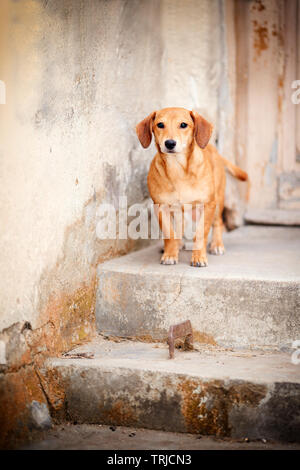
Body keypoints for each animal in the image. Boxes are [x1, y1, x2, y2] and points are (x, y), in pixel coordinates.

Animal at [137, 108, 248, 266]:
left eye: (183, 125)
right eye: (160, 124)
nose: (170, 143)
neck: (177, 169)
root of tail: (214, 150)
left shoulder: (208, 205)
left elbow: (201, 233)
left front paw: (199, 257)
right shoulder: (161, 206)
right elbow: (169, 234)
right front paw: (170, 254)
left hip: (218, 201)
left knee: (219, 223)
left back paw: (217, 244)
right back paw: (177, 244)